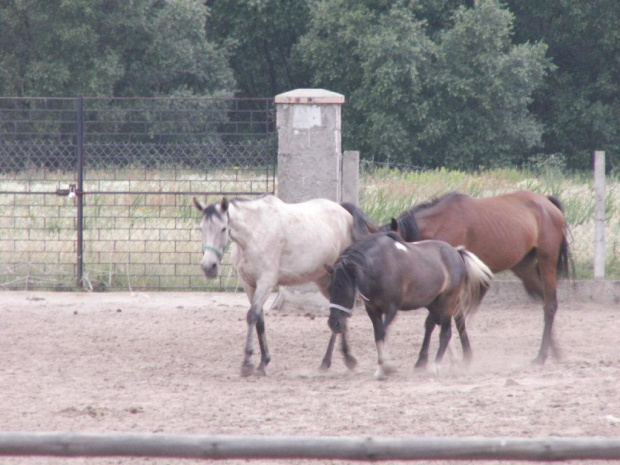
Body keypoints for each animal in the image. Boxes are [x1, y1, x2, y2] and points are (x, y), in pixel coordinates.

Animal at [191, 194, 372, 376]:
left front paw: (247, 364)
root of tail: (344, 213)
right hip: (324, 280)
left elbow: (252, 316)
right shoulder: (249, 284)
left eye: (223, 228)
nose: (208, 267)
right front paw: (263, 362)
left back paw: (346, 358)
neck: (254, 234)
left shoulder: (266, 281)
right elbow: (259, 319)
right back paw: (330, 361)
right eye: (201, 228)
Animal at [388, 190, 572, 364]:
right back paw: (554, 351)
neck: (441, 222)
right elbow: (457, 317)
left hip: (546, 261)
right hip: (523, 267)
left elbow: (434, 320)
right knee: (545, 301)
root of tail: (547, 202)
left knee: (550, 306)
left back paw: (542, 355)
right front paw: (467, 355)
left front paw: (423, 359)